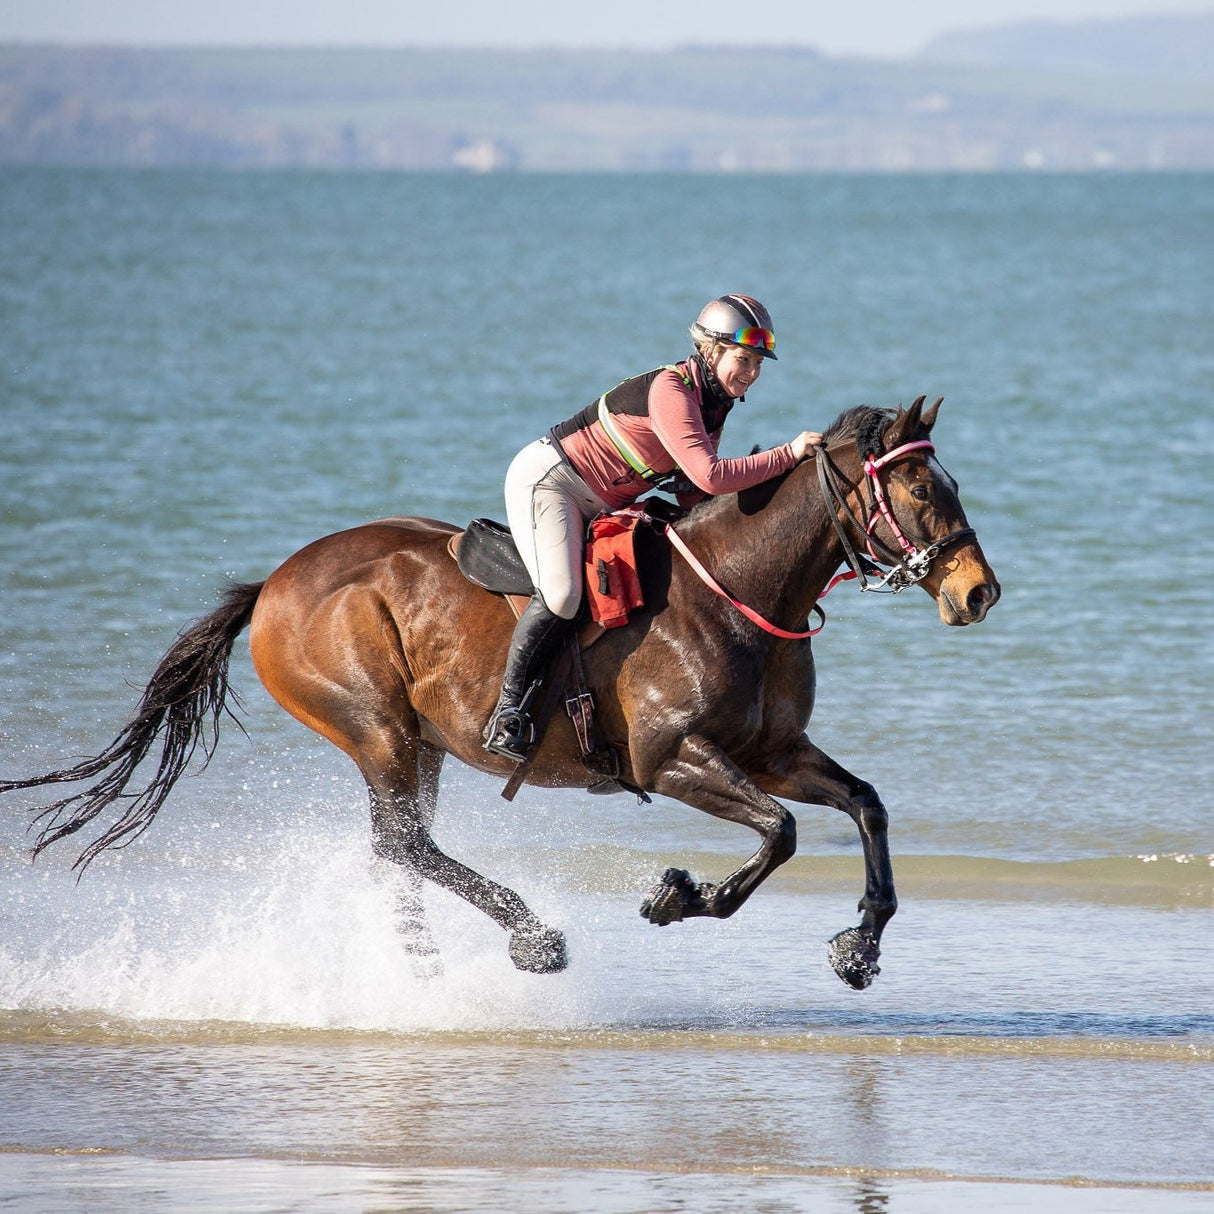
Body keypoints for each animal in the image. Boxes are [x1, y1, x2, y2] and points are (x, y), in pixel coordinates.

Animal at [2, 396, 999, 990]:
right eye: (918, 486)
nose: (978, 592)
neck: (739, 587)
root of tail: (274, 583)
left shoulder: (773, 753)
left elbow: (864, 807)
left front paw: (858, 946)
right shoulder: (673, 760)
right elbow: (782, 833)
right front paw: (680, 895)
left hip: (421, 745)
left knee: (398, 851)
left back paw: (418, 977)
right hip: (376, 726)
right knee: (403, 843)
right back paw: (530, 937)